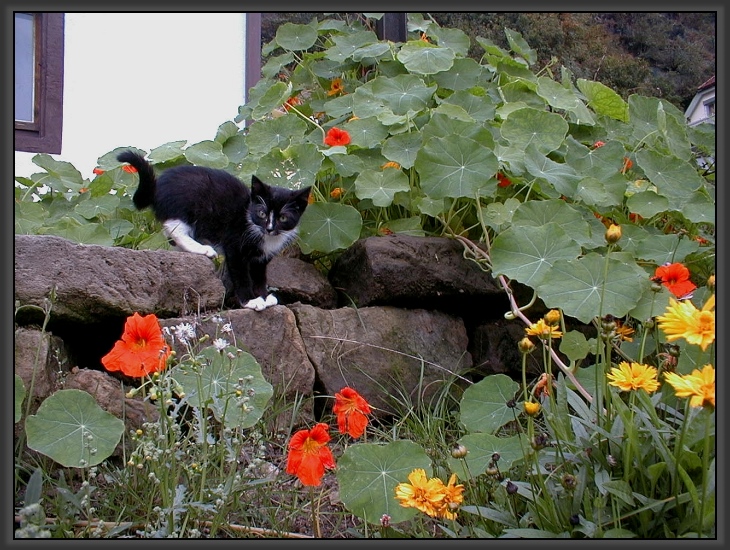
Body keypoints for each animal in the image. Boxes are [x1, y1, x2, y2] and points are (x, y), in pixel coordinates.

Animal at [118, 151, 310, 312]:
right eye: (262, 213)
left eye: (283, 218)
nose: (269, 228)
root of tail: (157, 187)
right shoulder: (234, 244)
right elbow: (241, 274)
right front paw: (251, 301)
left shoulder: (262, 258)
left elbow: (259, 275)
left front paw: (264, 296)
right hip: (185, 203)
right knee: (175, 229)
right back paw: (202, 249)